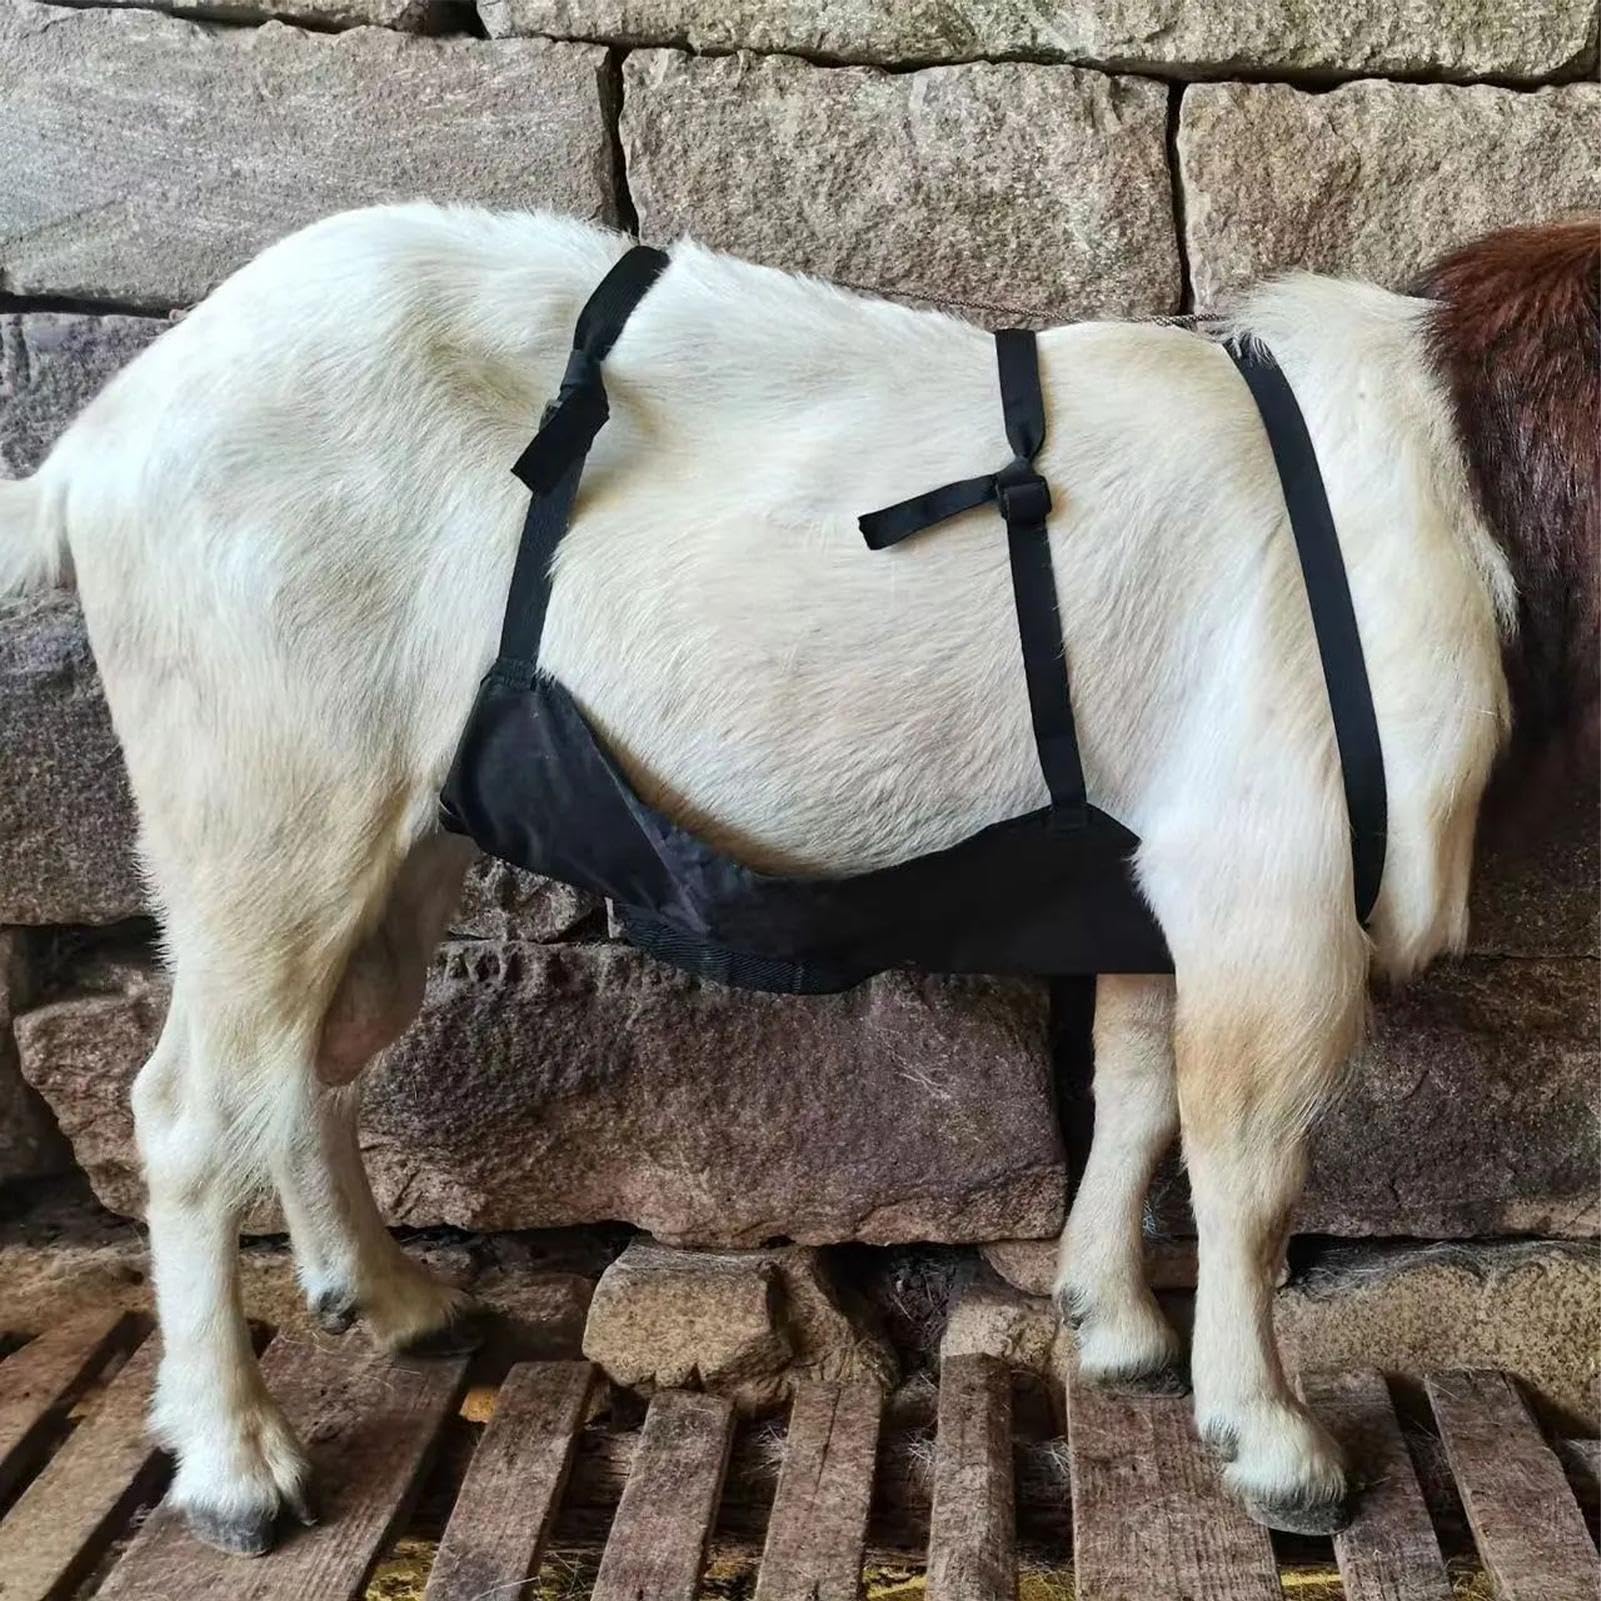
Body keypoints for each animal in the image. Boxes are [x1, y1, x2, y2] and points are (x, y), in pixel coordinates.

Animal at [1, 207, 1595, 1554]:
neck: (1434, 475)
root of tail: (96, 444)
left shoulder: (1159, 881)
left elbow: (1136, 1092)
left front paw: (1112, 1325)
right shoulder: (1273, 887)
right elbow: (1249, 1172)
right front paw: (1273, 1441)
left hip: (395, 826)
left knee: (315, 1059)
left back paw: (391, 1301)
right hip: (260, 789)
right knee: (189, 1108)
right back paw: (235, 1466)